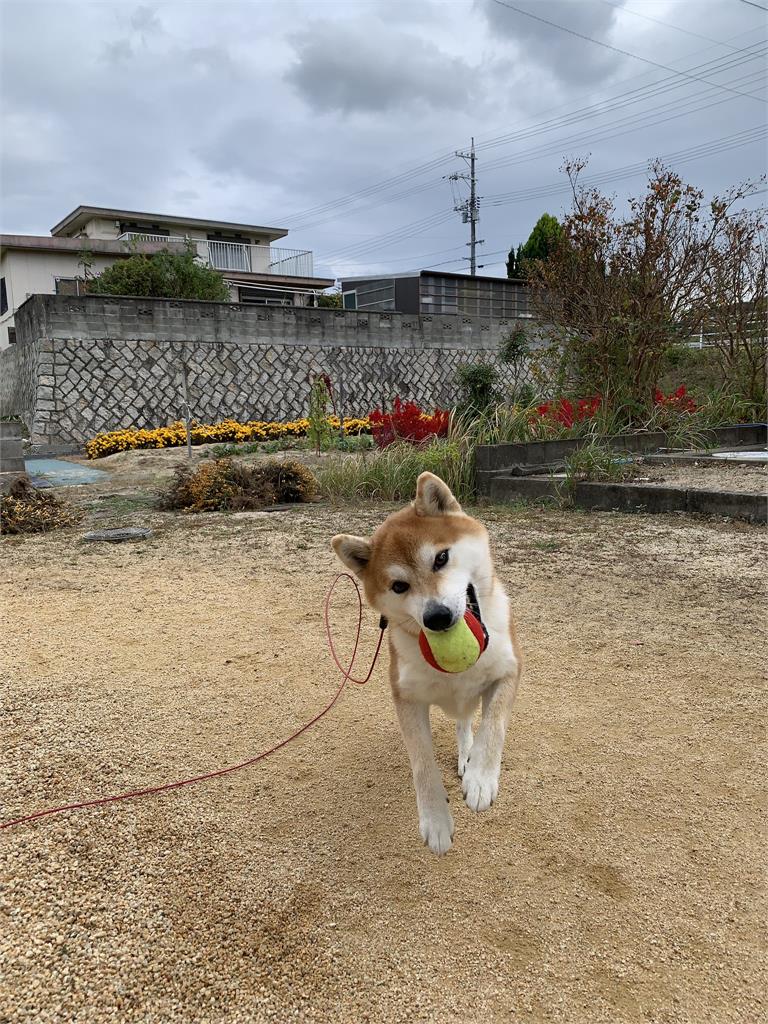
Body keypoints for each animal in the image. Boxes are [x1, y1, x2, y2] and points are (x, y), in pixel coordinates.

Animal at [331, 471, 524, 856]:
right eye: (398, 586)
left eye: (441, 558)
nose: (437, 617)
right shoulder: (407, 698)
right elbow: (422, 763)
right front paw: (436, 819)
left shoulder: (509, 670)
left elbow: (493, 727)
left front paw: (480, 777)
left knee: (466, 723)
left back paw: (467, 759)